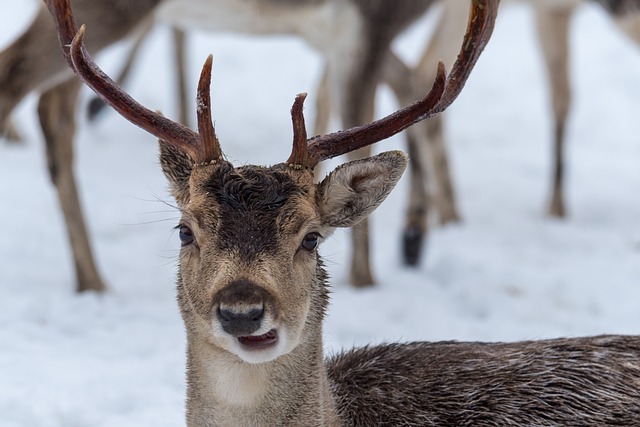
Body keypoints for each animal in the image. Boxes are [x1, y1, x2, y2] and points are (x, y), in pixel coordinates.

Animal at [0, 0, 464, 292]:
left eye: (311, 238)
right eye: (184, 230)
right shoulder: (370, 22)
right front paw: (371, 278)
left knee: (51, 102)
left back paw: (89, 278)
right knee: (19, 79)